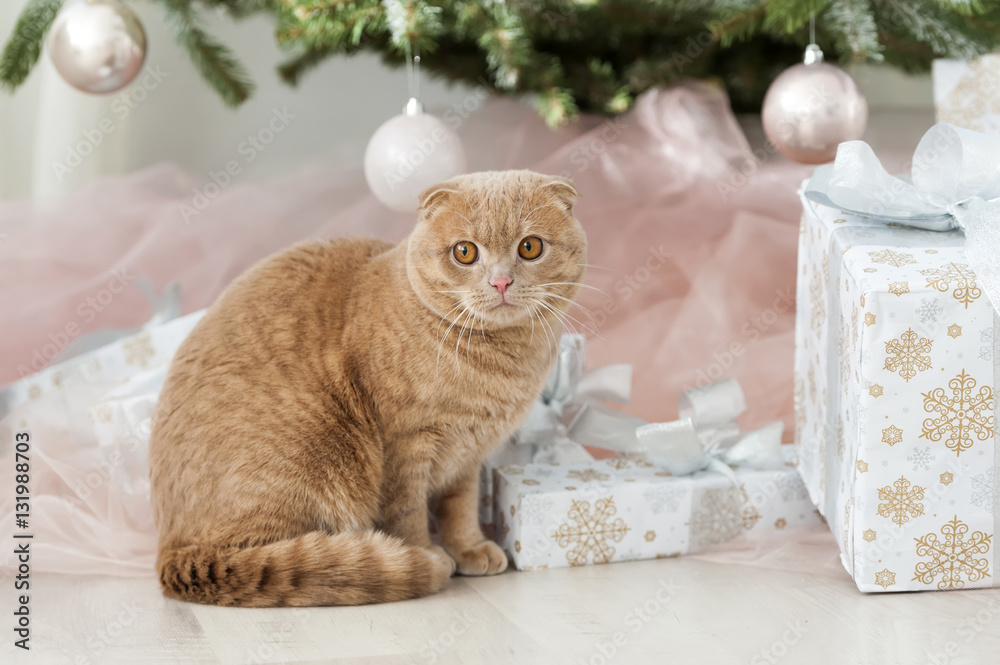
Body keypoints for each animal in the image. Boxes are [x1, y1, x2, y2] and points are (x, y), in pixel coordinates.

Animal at [148, 169, 584, 604]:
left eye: (529, 247)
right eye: (465, 252)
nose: (501, 282)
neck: (498, 362)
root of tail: (170, 553)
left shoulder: (467, 458)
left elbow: (460, 508)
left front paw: (469, 548)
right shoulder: (404, 446)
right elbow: (408, 512)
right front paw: (424, 551)